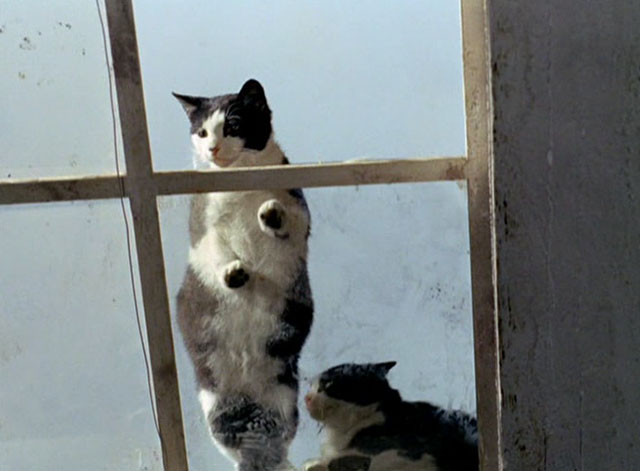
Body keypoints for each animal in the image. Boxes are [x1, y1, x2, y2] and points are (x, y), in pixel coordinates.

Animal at [174, 79, 314, 470]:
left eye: (233, 126)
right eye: (202, 132)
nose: (212, 148)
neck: (240, 188)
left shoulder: (299, 211)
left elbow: (289, 221)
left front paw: (270, 214)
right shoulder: (203, 229)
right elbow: (215, 250)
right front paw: (234, 272)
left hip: (284, 398)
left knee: (277, 446)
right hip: (219, 408)